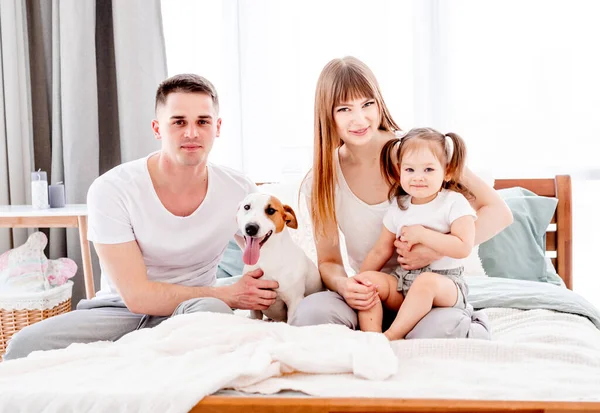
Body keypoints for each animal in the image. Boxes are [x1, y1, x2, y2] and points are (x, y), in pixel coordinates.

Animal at [238, 192, 326, 324]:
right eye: (246, 207)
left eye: (271, 210)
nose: (251, 228)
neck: (267, 257)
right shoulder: (254, 305)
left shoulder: (294, 301)